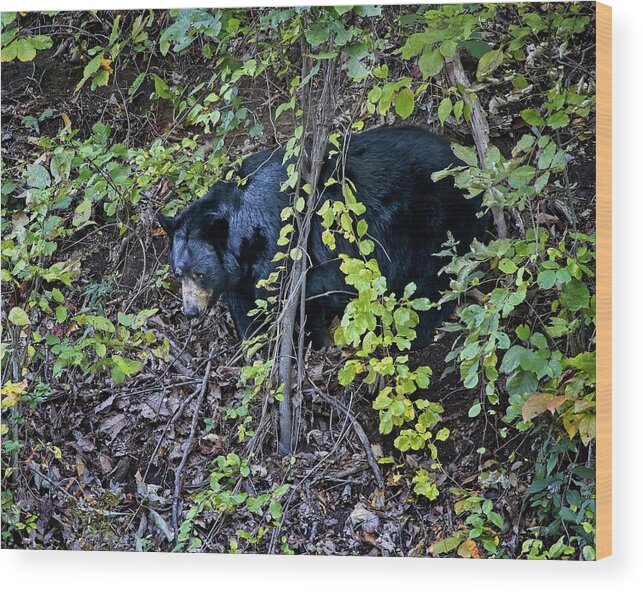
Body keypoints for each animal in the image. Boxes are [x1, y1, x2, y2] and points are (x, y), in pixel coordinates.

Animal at [160, 125, 488, 346]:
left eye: (200, 274)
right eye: (178, 274)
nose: (190, 311)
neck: (244, 237)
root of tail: (466, 163)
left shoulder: (282, 251)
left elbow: (302, 297)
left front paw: (305, 342)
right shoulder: (241, 276)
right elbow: (245, 307)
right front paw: (253, 342)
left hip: (436, 218)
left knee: (434, 276)